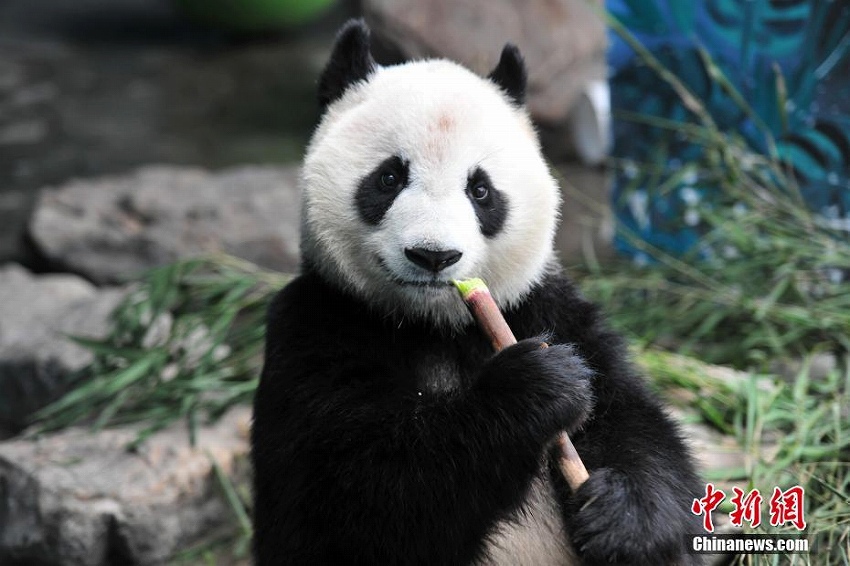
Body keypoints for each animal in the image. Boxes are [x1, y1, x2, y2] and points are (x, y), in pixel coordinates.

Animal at [253, 18, 704, 566]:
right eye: (388, 177)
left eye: (481, 190)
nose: (433, 255)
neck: (434, 325)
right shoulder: (316, 329)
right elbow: (356, 498)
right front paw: (534, 386)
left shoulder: (547, 307)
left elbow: (633, 421)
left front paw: (624, 516)